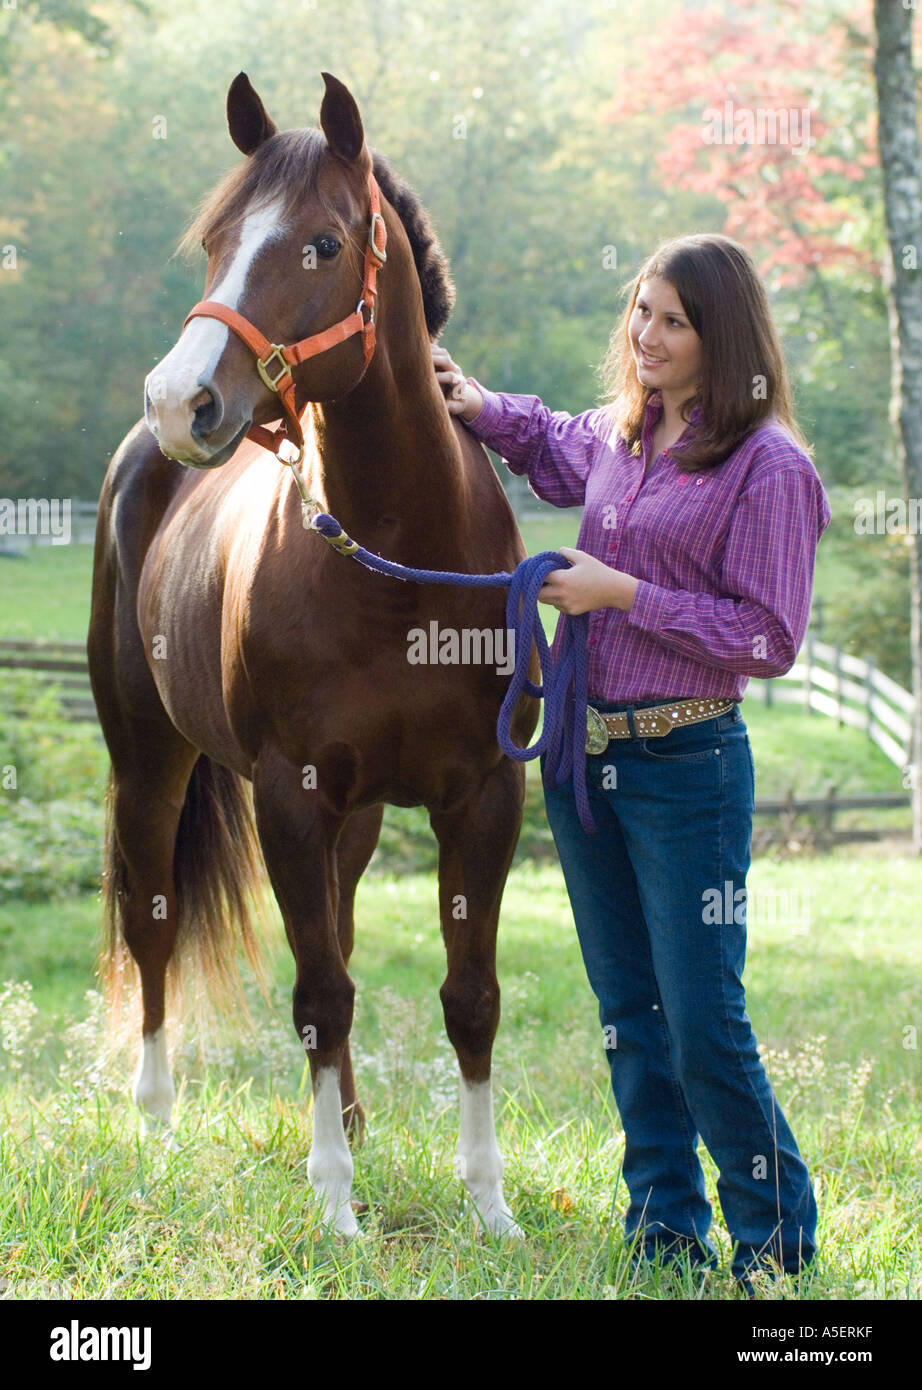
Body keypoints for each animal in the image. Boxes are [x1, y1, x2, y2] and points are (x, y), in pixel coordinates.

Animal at [87, 70, 539, 1237]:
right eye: (215, 241)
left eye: (322, 244)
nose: (182, 400)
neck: (400, 564)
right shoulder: (285, 795)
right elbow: (318, 992)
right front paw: (335, 1204)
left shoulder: (484, 795)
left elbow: (470, 996)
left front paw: (488, 1202)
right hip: (150, 768)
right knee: (156, 932)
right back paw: (157, 1130)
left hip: (360, 815)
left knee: (332, 924)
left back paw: (348, 1120)